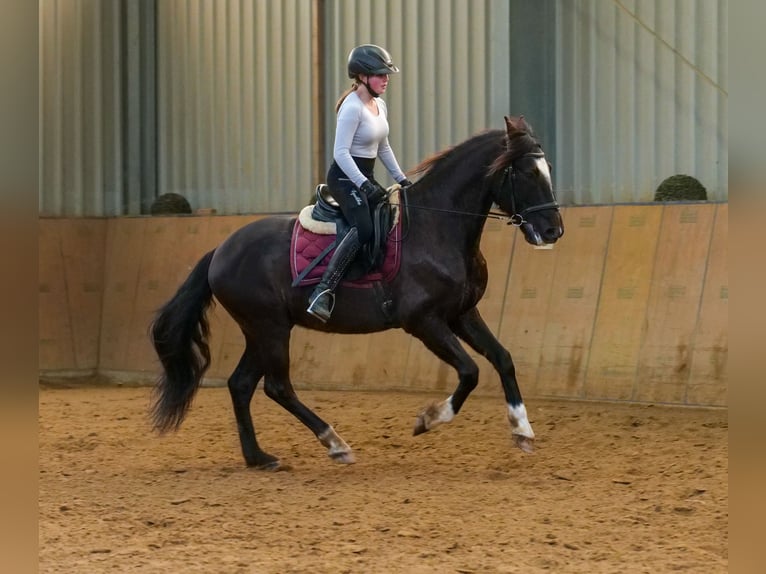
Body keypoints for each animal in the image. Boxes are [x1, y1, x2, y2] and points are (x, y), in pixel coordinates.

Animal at [153, 115, 568, 470]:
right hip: (268, 328)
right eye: (526, 172)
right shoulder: (424, 322)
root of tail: (221, 250)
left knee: (241, 385)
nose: (553, 231)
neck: (437, 228)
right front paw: (428, 419)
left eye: (547, 168)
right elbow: (470, 371)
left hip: (263, 330)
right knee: (277, 386)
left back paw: (259, 458)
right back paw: (334, 443)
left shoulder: (462, 314)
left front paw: (522, 430)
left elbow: (503, 359)